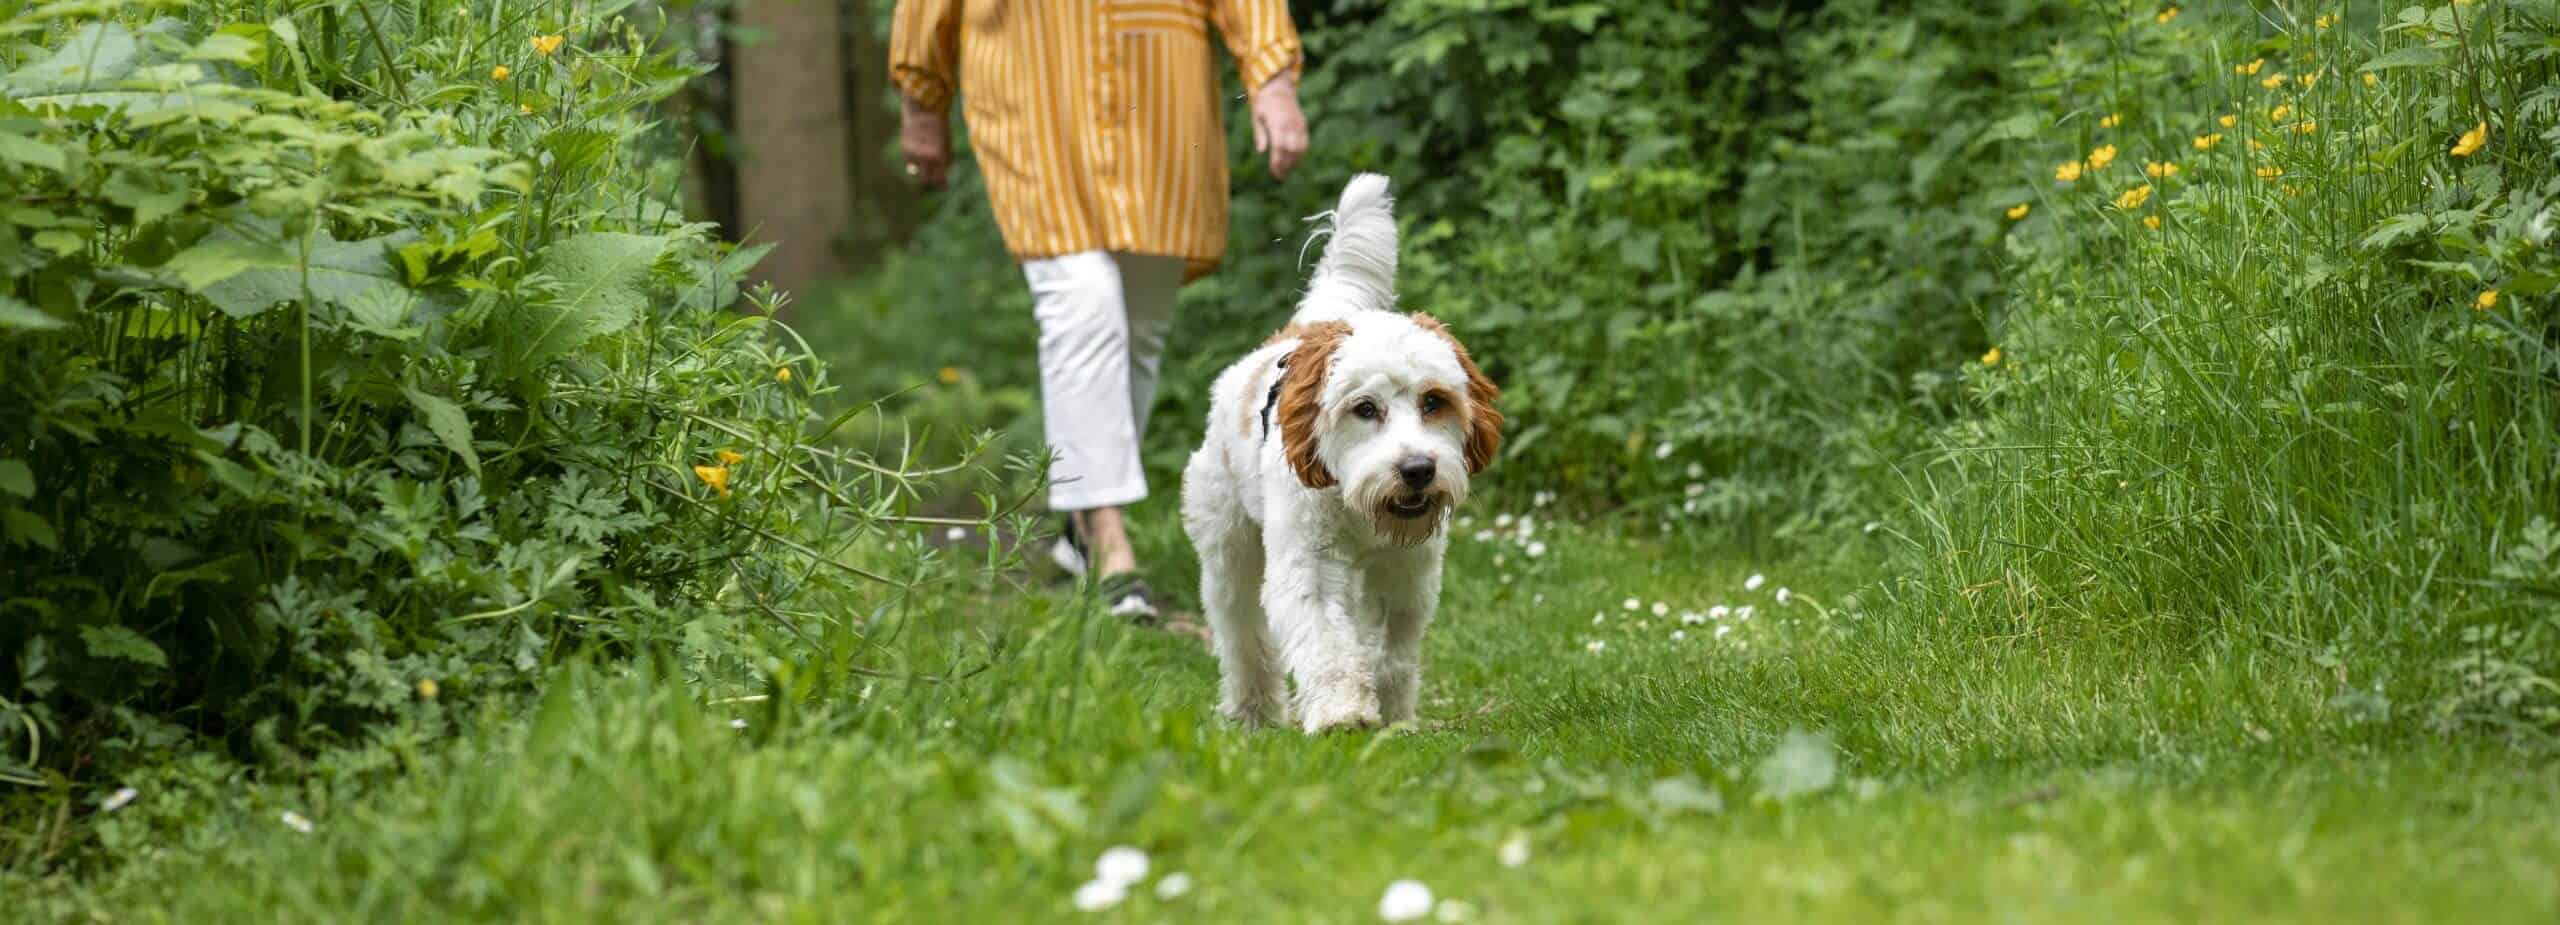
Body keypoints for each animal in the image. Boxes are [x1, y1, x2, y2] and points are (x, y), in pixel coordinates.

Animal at [1177, 176, 1495, 732]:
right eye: (1364, 408)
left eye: (1434, 402)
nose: (1417, 469)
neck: (1358, 505)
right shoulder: (1310, 565)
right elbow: (1326, 641)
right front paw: (1341, 712)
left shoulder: (1406, 573)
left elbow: (1389, 650)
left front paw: (1391, 716)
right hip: (1228, 551)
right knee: (1242, 634)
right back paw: (1252, 712)